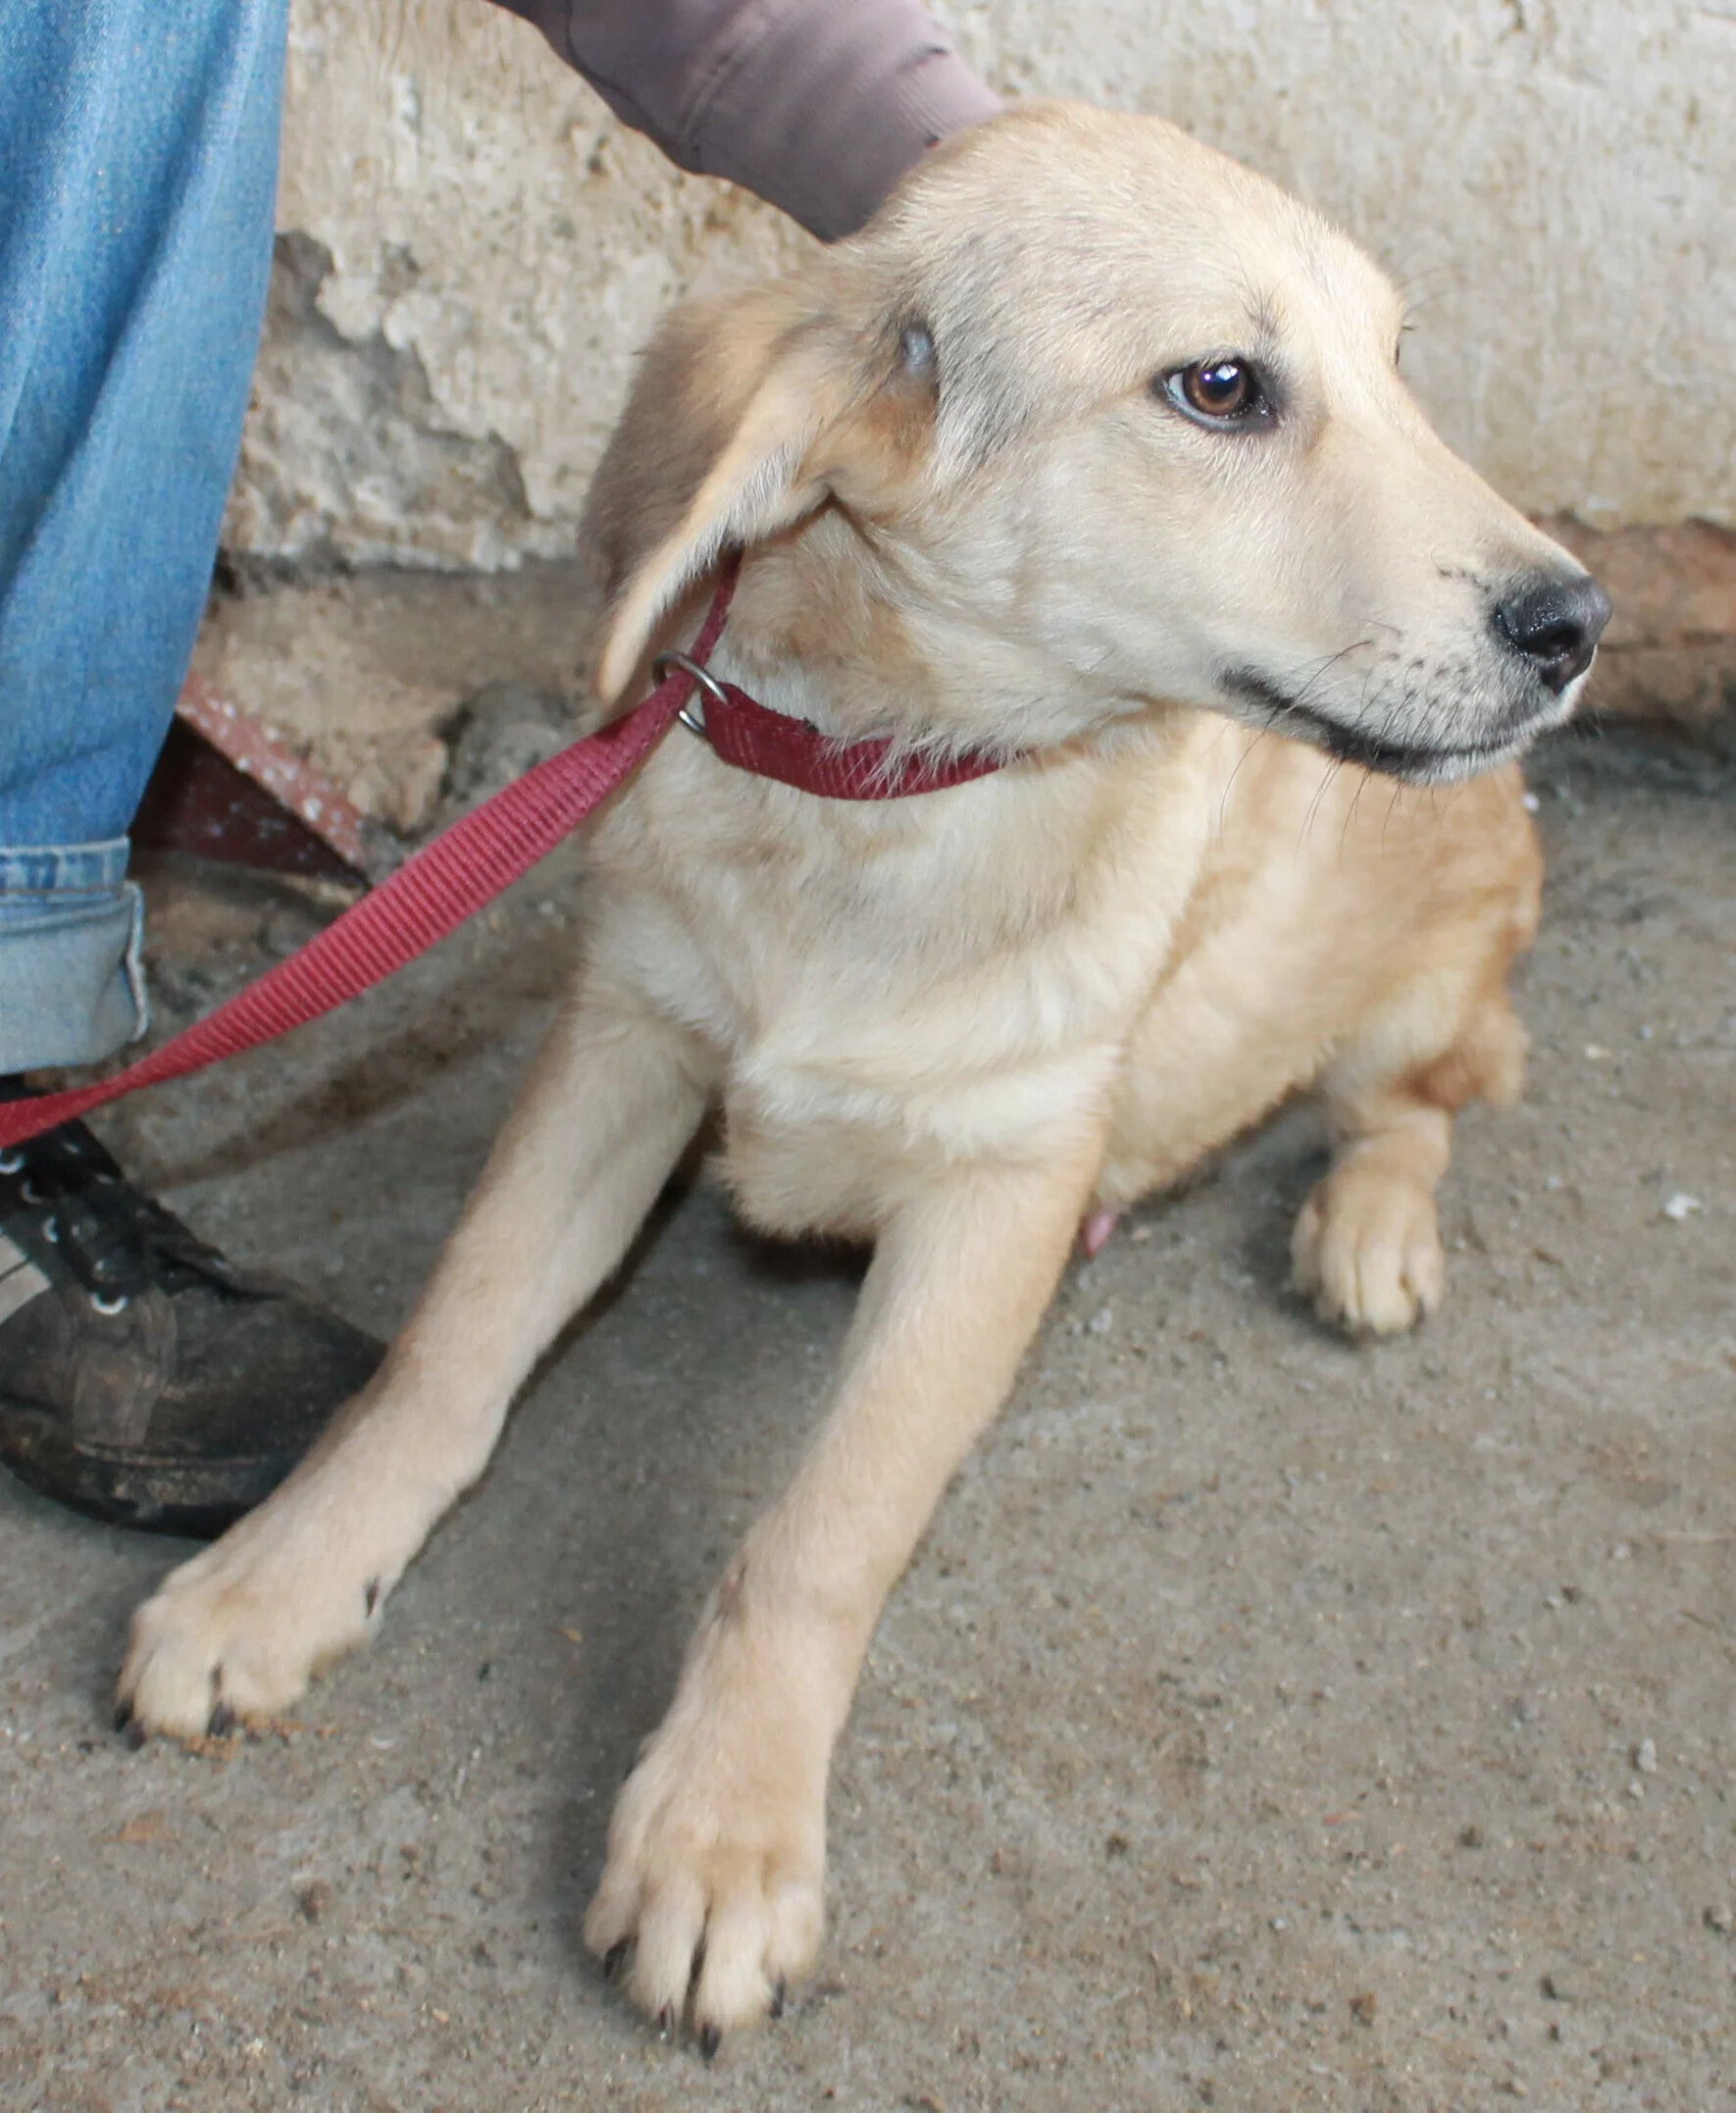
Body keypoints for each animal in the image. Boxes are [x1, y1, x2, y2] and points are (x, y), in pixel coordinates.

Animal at [118, 103, 1610, 2049]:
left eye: (1395, 364)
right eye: (1220, 387)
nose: (1575, 620)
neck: (895, 794)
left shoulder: (998, 1199)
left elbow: (814, 1537)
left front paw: (722, 1828)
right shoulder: (622, 1041)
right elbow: (448, 1349)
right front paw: (282, 1574)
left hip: (1415, 981)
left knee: (1420, 1101)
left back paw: (1367, 1230)